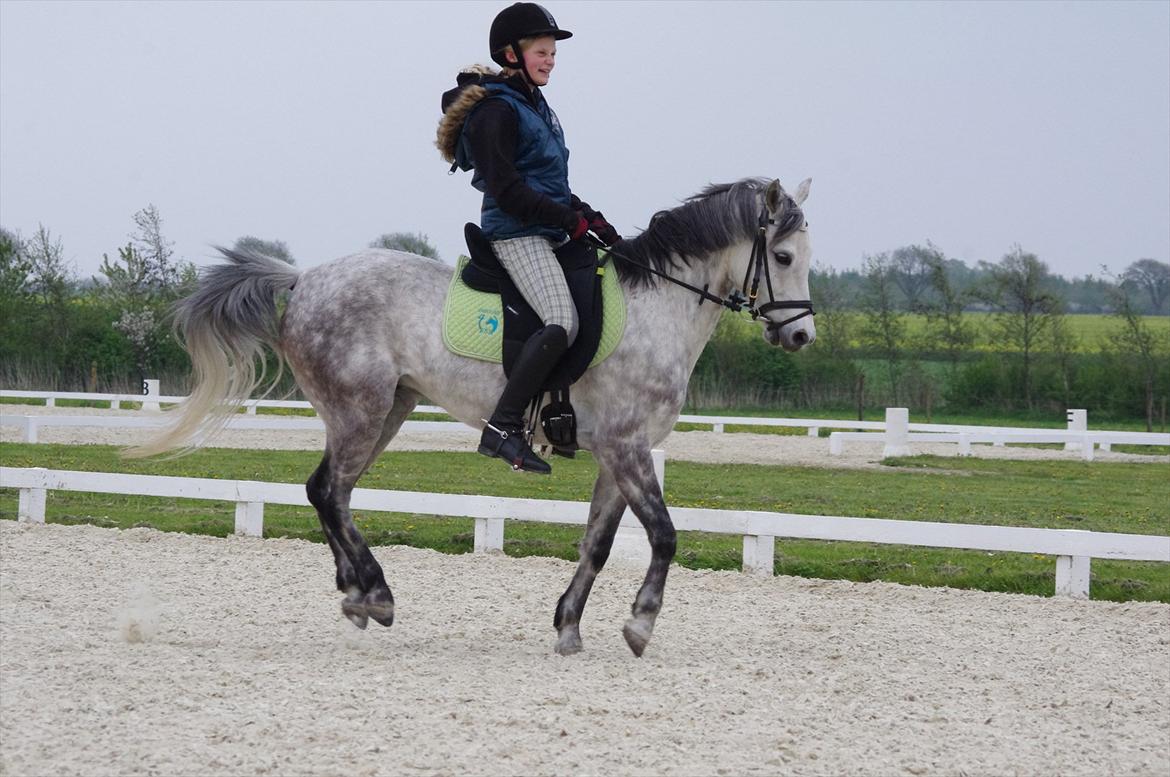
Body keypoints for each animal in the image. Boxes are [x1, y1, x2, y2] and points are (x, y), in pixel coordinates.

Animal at [136, 175, 814, 655]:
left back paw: (354, 593)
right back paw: (377, 593)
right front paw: (640, 624)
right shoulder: (626, 448)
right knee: (329, 491)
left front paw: (568, 628)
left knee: (330, 492)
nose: (802, 336)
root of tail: (303, 279)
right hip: (361, 411)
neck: (658, 308)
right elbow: (666, 535)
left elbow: (598, 543)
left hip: (385, 411)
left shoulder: (619, 454)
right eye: (782, 258)